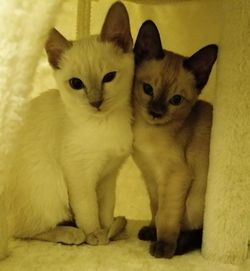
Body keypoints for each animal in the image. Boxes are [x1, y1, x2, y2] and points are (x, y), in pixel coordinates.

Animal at [0, 1, 134, 254]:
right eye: (76, 84)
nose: (95, 102)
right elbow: (88, 210)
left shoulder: (108, 175)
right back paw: (73, 234)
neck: (105, 123)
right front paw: (96, 236)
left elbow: (105, 210)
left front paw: (108, 232)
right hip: (49, 181)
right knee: (23, 232)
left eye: (109, 77)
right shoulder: (79, 174)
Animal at [133, 20, 217, 260]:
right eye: (148, 89)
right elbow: (155, 209)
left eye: (176, 100)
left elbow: (166, 215)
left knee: (198, 230)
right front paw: (151, 231)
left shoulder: (175, 176)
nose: (156, 112)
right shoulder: (151, 177)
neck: (148, 131)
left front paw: (163, 246)